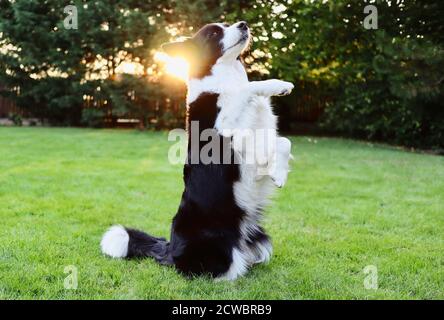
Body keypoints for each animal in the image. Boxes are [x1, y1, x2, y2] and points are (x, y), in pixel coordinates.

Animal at [102, 21, 294, 280]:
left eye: (228, 24)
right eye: (213, 33)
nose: (243, 24)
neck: (224, 77)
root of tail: (169, 249)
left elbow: (284, 142)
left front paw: (279, 173)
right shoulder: (225, 134)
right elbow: (247, 88)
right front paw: (275, 84)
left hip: (260, 237)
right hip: (220, 247)